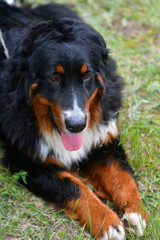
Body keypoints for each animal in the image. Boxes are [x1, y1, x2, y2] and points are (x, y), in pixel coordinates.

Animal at [0, 0, 148, 239]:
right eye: (53, 78)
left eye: (86, 76)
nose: (77, 126)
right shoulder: (27, 161)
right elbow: (75, 188)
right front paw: (108, 224)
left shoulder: (103, 139)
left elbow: (123, 176)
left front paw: (136, 212)